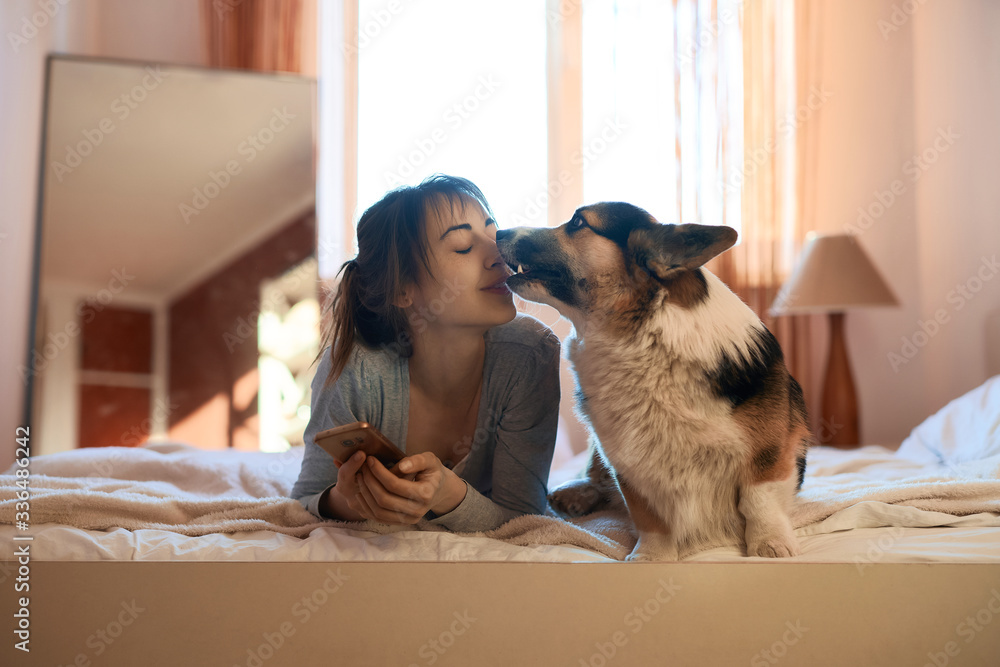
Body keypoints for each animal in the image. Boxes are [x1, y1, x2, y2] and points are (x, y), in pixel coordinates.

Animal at [496, 205, 808, 564]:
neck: (641, 337)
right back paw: (576, 493)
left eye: (577, 222)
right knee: (594, 474)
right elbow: (649, 515)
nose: (497, 232)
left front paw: (769, 543)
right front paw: (651, 557)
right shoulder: (628, 463)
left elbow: (759, 499)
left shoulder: (769, 450)